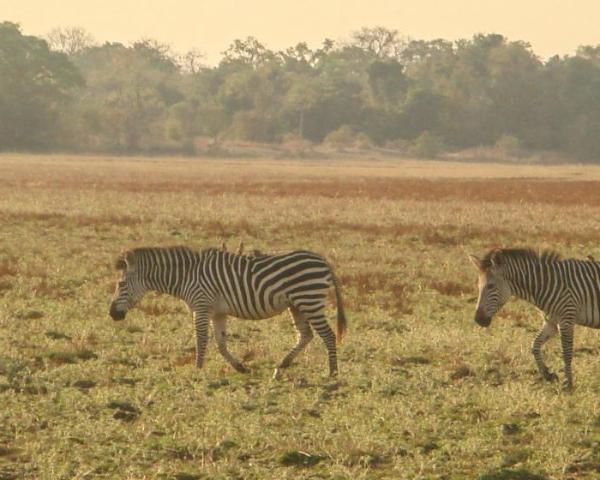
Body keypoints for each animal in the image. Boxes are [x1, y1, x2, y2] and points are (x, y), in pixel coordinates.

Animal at [108, 246, 346, 376]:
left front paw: (197, 369)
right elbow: (221, 343)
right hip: (296, 304)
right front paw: (240, 367)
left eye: (121, 284)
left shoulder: (201, 306)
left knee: (327, 335)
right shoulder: (217, 312)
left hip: (309, 299)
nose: (112, 314)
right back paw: (280, 367)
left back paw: (332, 373)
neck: (186, 276)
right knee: (305, 335)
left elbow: (201, 340)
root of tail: (322, 259)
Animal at [468, 248, 600, 390]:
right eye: (478, 286)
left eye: (491, 286)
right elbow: (535, 345)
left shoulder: (567, 319)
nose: (478, 320)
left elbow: (567, 352)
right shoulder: (551, 322)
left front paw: (568, 383)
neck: (546, 284)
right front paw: (547, 374)